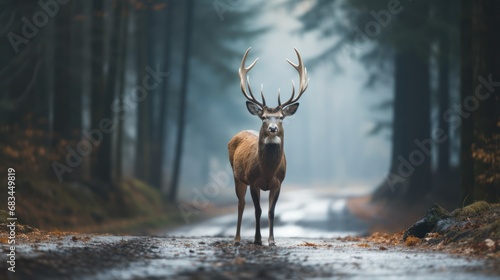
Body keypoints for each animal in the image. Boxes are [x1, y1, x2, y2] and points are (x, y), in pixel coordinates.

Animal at [229, 47, 308, 245]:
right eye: (264, 117)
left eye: (281, 117)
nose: (272, 128)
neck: (267, 172)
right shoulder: (253, 181)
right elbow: (258, 211)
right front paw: (257, 239)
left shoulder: (278, 183)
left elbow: (271, 211)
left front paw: (271, 240)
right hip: (237, 176)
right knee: (241, 204)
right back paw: (237, 238)